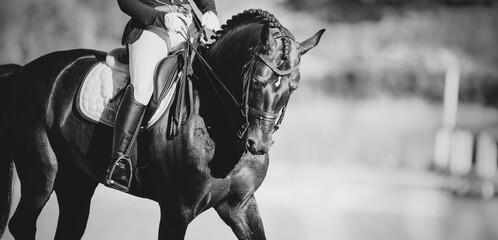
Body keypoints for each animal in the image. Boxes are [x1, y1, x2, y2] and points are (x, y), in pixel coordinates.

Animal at [0, 8, 324, 240]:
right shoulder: (176, 210)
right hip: (42, 173)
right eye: (257, 81)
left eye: (293, 86)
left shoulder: (240, 206)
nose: (259, 144)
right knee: (23, 224)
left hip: (76, 179)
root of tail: (22, 72)